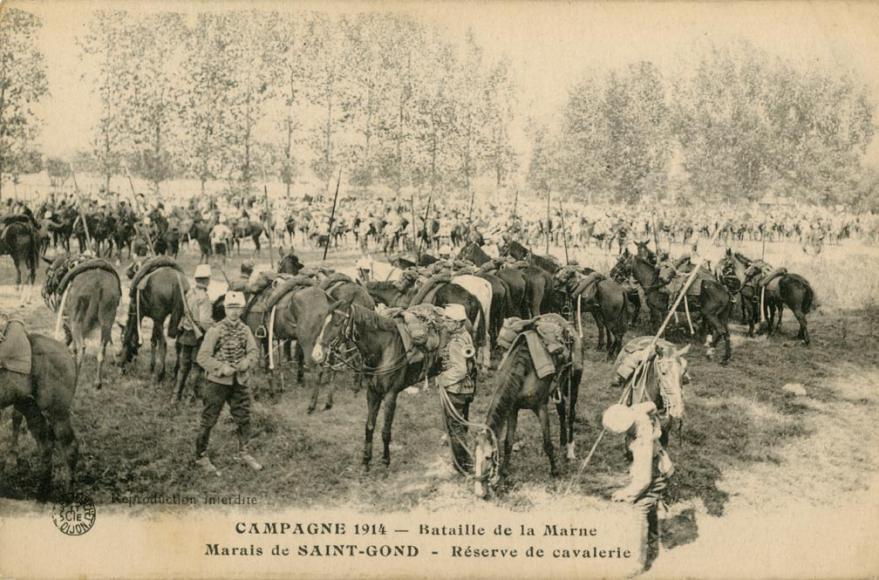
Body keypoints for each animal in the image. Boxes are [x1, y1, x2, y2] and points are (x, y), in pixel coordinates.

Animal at [2, 334, 79, 500]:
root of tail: (67, 352)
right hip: (30, 406)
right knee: (45, 444)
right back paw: (42, 493)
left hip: (57, 412)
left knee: (69, 446)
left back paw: (67, 494)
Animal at [312, 304, 444, 472]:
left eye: (336, 324)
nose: (316, 354)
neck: (383, 349)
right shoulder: (372, 393)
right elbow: (369, 427)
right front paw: (366, 461)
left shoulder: (390, 395)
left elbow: (385, 431)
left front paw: (385, 461)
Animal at [470, 334, 580, 496]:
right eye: (474, 456)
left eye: (488, 457)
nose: (478, 491)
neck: (523, 371)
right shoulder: (513, 409)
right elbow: (508, 443)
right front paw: (503, 476)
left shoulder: (541, 407)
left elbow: (547, 443)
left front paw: (554, 471)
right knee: (561, 413)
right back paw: (562, 442)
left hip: (575, 383)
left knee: (571, 414)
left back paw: (570, 451)